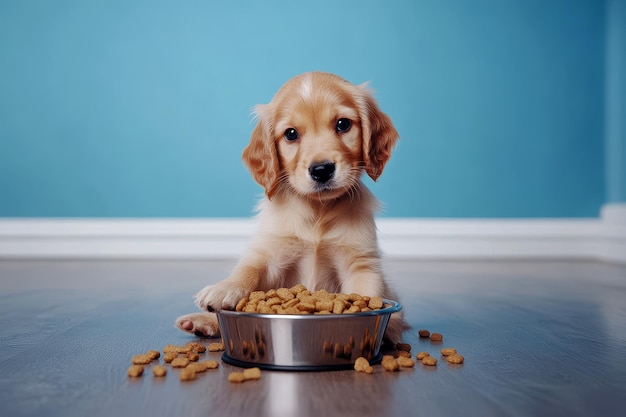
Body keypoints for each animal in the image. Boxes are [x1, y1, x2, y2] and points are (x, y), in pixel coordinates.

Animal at [176, 71, 404, 342]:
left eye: (343, 124)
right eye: (291, 134)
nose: (321, 170)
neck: (318, 210)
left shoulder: (360, 262)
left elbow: (364, 291)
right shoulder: (273, 253)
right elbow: (250, 268)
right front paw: (224, 289)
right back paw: (202, 321)